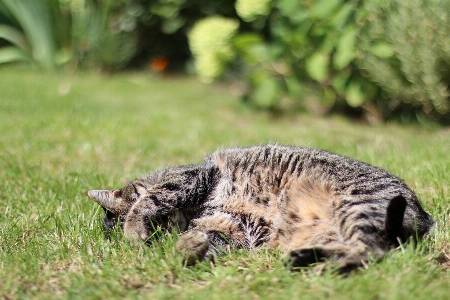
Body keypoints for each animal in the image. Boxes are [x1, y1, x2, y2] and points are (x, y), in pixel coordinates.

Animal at [86, 144, 434, 274]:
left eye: (158, 226)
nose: (164, 228)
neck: (192, 215)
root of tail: (425, 217)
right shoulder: (229, 232)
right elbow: (198, 245)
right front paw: (186, 245)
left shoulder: (192, 177)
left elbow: (149, 199)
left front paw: (134, 228)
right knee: (368, 250)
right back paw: (304, 259)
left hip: (355, 205)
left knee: (374, 251)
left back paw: (321, 267)